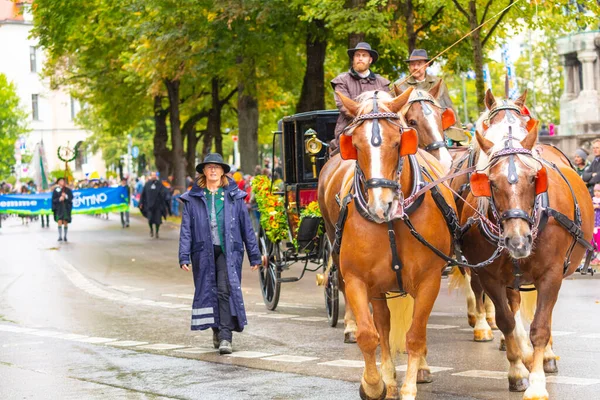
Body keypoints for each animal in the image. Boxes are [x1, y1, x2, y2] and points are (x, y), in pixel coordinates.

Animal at [318, 88, 454, 400]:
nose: (382, 205)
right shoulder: (359, 278)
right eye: (354, 144)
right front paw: (374, 384)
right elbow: (370, 335)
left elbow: (415, 334)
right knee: (378, 320)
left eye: (398, 141)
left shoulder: (429, 279)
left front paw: (409, 387)